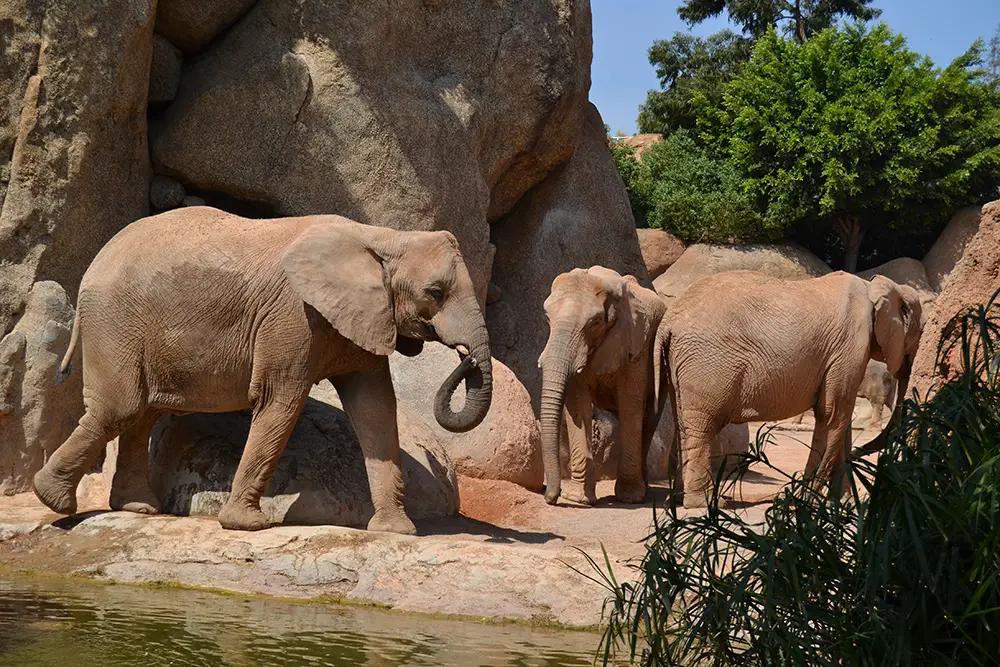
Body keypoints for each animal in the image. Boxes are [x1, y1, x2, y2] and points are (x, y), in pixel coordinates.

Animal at [33, 206, 494, 536]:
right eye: (435, 293)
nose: (465, 356)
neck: (381, 235)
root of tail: (95, 261)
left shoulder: (361, 318)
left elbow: (375, 408)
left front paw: (396, 532)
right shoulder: (293, 315)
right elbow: (280, 402)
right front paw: (246, 526)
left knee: (142, 414)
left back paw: (136, 508)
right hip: (115, 322)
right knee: (122, 409)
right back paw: (54, 500)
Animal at [536, 266, 668, 506]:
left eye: (595, 323)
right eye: (547, 318)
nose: (551, 497)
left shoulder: (636, 344)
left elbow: (630, 405)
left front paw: (629, 497)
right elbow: (577, 405)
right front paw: (578, 498)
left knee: (648, 417)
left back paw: (641, 490)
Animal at [656, 270, 920, 506]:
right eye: (919, 334)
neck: (874, 284)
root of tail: (668, 321)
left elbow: (841, 421)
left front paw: (842, 503)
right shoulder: (850, 346)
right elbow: (832, 415)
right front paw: (805, 500)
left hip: (681, 365)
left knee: (683, 424)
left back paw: (679, 500)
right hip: (705, 364)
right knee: (702, 427)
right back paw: (705, 503)